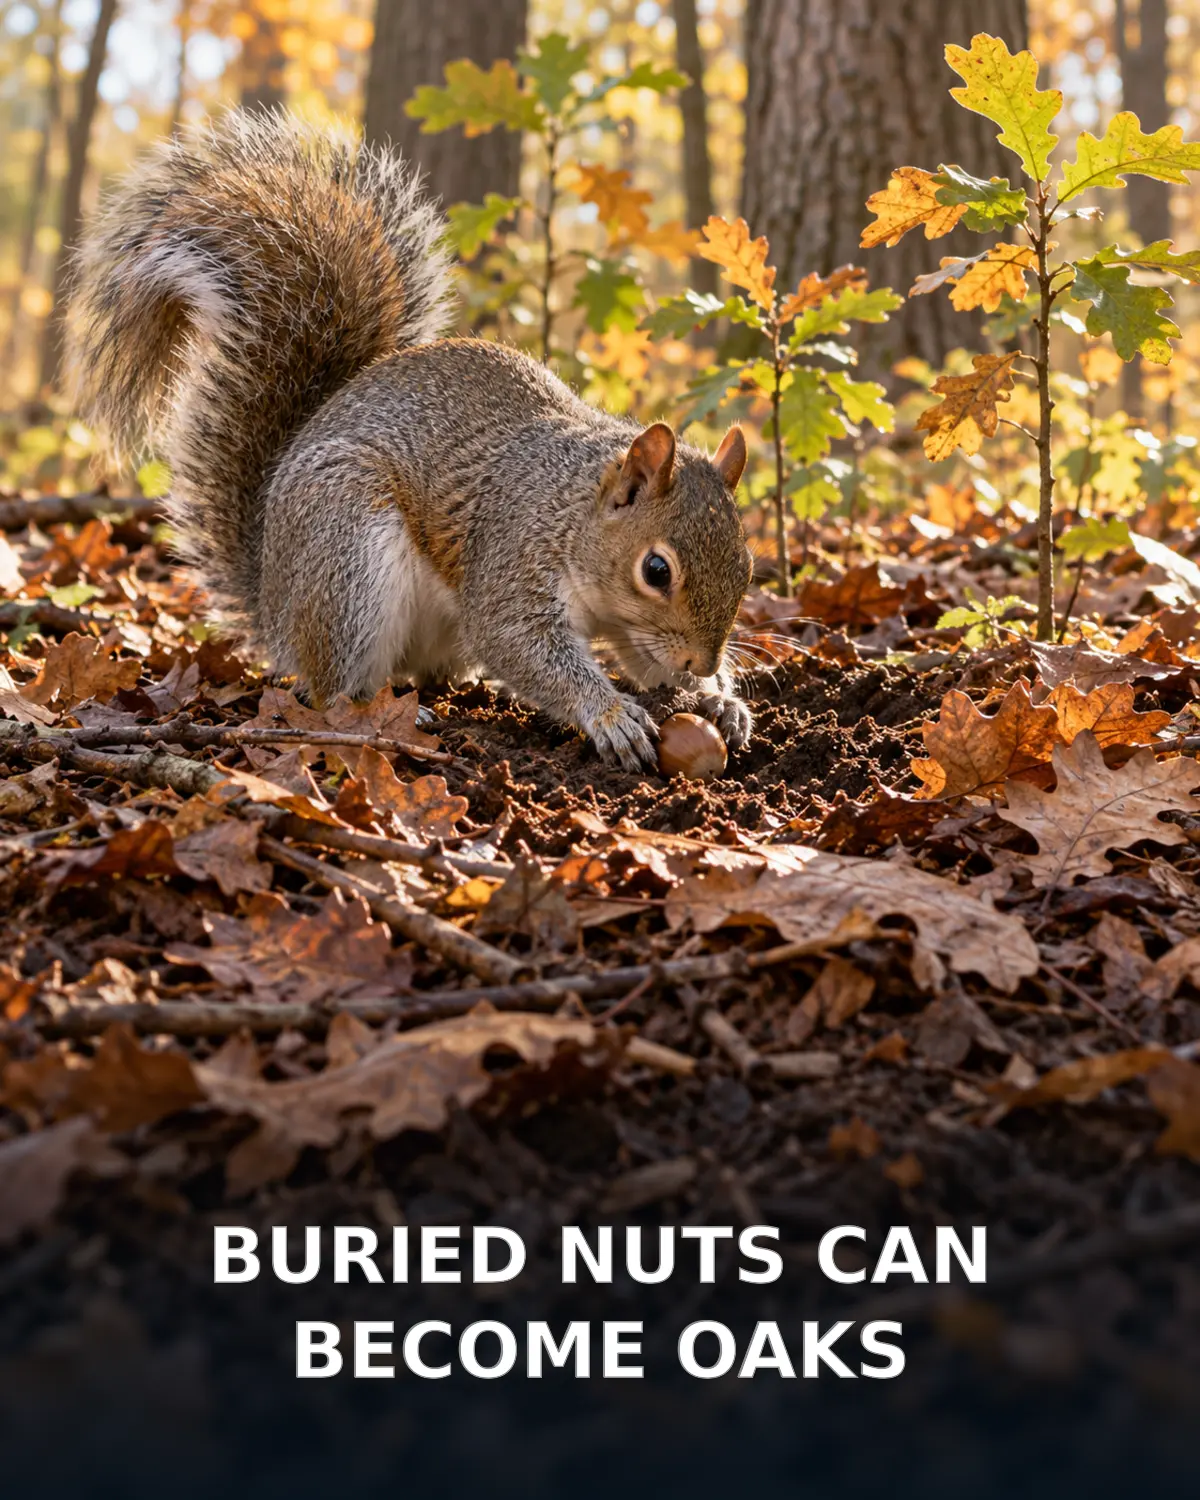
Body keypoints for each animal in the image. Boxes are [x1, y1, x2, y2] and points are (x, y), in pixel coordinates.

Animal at [66, 110, 754, 771]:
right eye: (656, 570)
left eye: (747, 567)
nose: (701, 661)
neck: (572, 509)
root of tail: (274, 606)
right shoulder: (513, 556)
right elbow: (516, 641)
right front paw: (610, 714)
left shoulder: (631, 626)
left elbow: (642, 659)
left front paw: (717, 699)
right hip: (347, 557)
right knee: (328, 687)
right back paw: (384, 711)